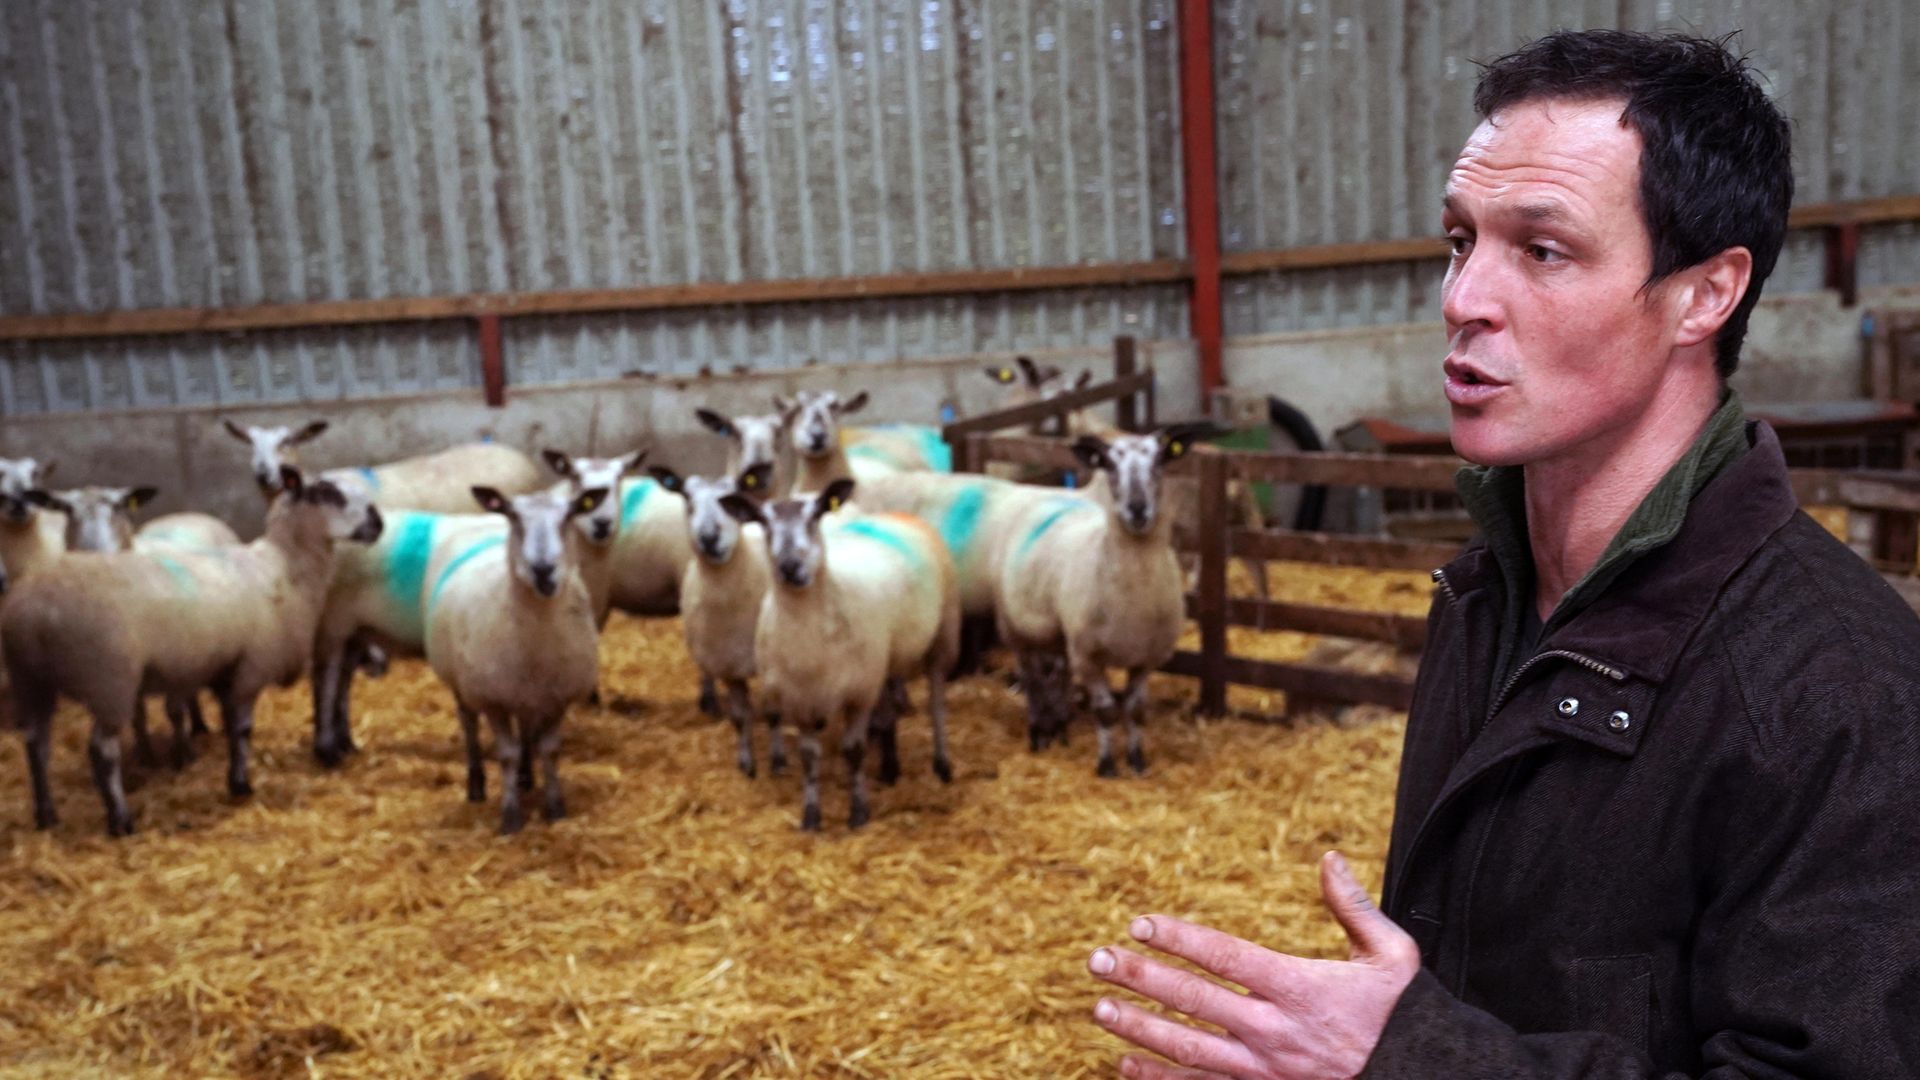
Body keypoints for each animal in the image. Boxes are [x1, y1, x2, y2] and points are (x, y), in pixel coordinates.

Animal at [422, 486, 602, 834]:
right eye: (514, 516)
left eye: (569, 515)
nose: (543, 569)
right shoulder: (493, 700)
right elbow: (506, 753)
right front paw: (510, 817)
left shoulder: (558, 697)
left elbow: (549, 749)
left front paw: (555, 808)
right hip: (462, 682)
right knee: (468, 723)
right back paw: (477, 785)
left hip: (524, 693)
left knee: (526, 729)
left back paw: (525, 777)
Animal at [652, 461, 787, 772]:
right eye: (687, 498)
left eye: (731, 497)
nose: (709, 537)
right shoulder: (728, 665)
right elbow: (739, 716)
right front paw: (746, 762)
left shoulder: (771, 666)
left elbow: (773, 713)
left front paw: (777, 760)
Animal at [721, 480, 960, 834]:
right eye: (763, 522)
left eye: (816, 516)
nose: (789, 567)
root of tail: (897, 514)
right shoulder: (799, 699)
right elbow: (809, 755)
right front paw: (811, 815)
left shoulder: (858, 695)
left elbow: (854, 750)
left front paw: (858, 812)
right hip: (884, 662)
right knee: (888, 713)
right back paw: (890, 769)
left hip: (942, 637)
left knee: (937, 705)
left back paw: (942, 765)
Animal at [998, 420, 1205, 772]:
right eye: (1108, 464)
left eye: (1160, 461)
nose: (1138, 509)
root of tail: (1049, 494)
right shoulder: (1089, 656)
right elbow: (1107, 711)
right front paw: (1107, 765)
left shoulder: (1148, 657)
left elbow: (1136, 709)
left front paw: (1137, 760)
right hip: (1016, 630)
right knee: (1032, 679)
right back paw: (1038, 732)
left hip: (1061, 635)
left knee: (1058, 676)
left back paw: (1060, 729)